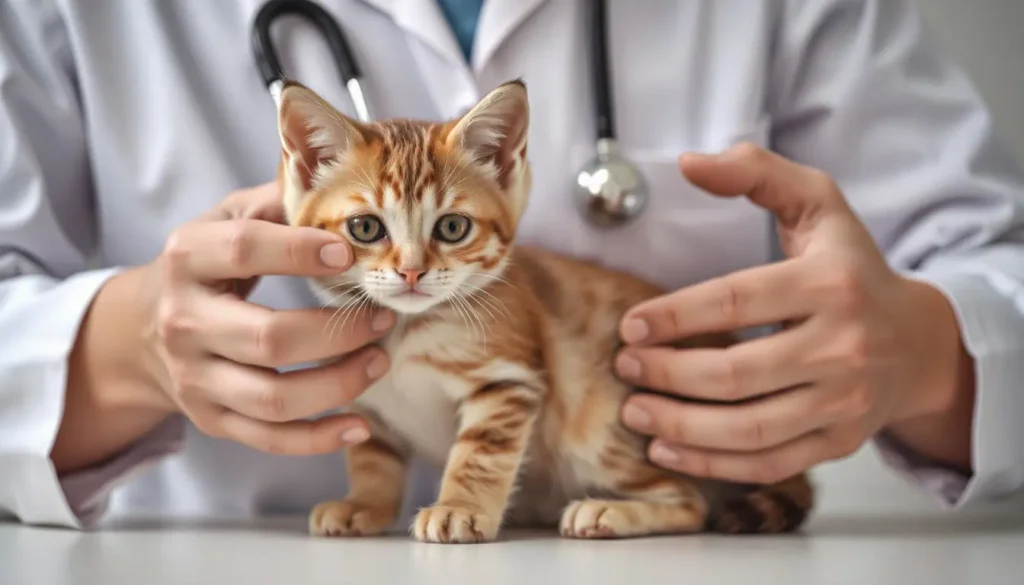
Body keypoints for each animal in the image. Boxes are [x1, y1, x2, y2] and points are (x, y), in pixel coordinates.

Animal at [272, 78, 815, 545]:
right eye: (365, 227)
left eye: (452, 227)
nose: (410, 272)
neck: (408, 329)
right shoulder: (367, 401)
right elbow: (372, 457)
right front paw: (364, 504)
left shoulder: (508, 380)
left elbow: (479, 454)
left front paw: (459, 508)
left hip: (600, 418)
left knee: (691, 501)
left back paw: (607, 511)